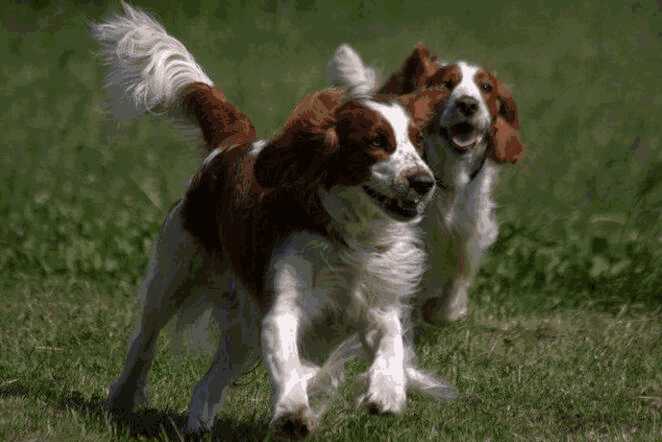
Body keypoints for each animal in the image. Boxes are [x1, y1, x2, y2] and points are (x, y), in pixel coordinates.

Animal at [94, 4, 456, 438]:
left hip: (242, 327)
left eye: (417, 143)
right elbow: (290, 366)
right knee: (144, 342)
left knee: (207, 383)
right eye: (376, 142)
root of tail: (231, 144)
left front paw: (387, 391)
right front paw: (293, 412)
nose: (424, 181)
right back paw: (122, 397)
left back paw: (198, 425)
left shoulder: (374, 303)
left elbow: (389, 340)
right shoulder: (282, 308)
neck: (347, 234)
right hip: (173, 274)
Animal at [330, 43, 528, 322]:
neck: (449, 177)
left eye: (486, 87)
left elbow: (456, 280)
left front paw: (443, 308)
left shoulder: (469, 231)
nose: (468, 104)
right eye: (446, 84)